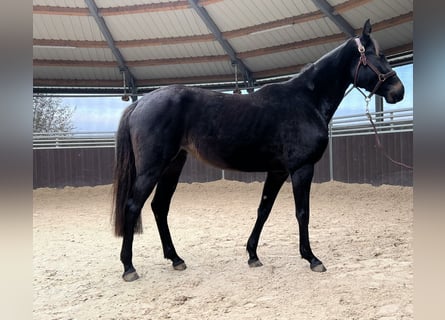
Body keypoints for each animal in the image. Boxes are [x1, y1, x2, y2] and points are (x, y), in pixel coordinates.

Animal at [111, 20, 402, 280]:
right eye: (379, 55)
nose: (398, 91)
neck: (307, 101)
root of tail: (140, 103)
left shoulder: (277, 172)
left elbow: (264, 210)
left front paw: (252, 255)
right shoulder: (301, 169)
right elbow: (303, 213)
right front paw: (312, 258)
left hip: (173, 165)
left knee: (160, 207)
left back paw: (176, 259)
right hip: (152, 169)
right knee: (133, 206)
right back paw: (128, 267)